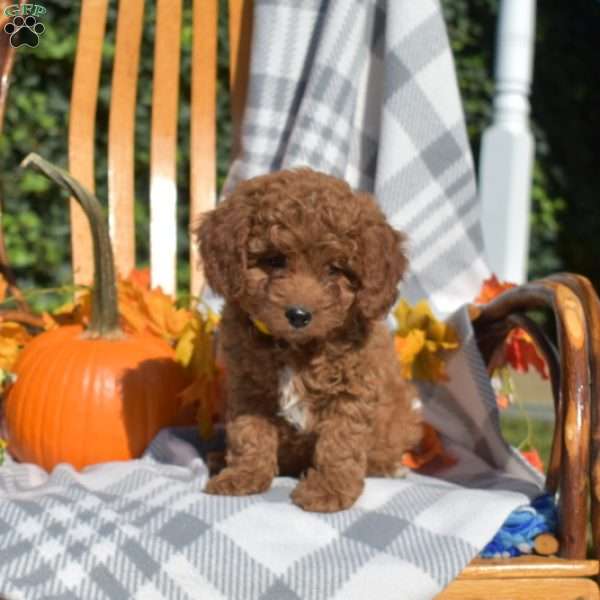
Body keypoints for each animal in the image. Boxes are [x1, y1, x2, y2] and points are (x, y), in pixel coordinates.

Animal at [197, 168, 422, 510]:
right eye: (275, 260)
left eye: (335, 269)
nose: (299, 315)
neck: (297, 347)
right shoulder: (248, 390)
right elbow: (249, 434)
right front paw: (243, 477)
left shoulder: (352, 392)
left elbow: (339, 444)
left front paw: (328, 490)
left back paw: (388, 467)